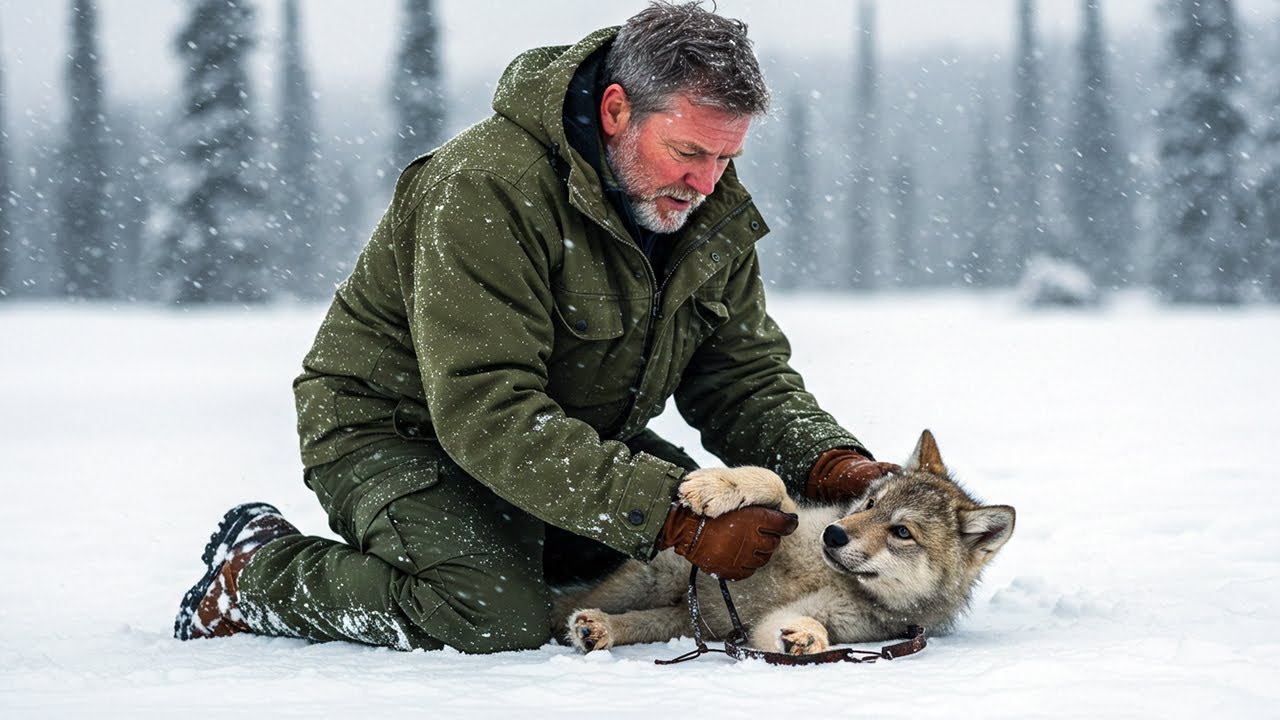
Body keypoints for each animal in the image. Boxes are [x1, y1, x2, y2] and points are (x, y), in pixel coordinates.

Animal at [554, 430, 1015, 655]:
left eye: (902, 532)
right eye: (869, 503)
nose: (834, 534)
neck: (833, 576)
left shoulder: (787, 621)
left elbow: (797, 627)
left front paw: (807, 638)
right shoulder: (786, 519)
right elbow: (772, 481)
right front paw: (714, 486)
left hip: (685, 621)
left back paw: (598, 630)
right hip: (650, 581)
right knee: (575, 601)